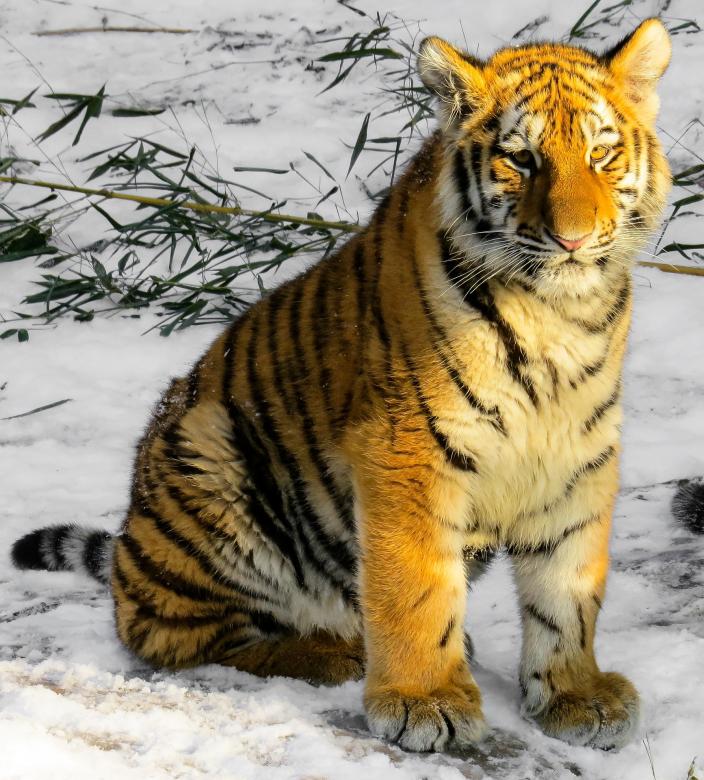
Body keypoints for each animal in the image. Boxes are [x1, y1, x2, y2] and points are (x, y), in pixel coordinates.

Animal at [11, 18, 672, 754]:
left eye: (601, 154)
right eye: (521, 159)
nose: (573, 239)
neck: (560, 314)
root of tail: (127, 550)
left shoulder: (579, 454)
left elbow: (569, 585)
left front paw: (576, 696)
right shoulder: (407, 449)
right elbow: (416, 587)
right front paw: (424, 701)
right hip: (210, 453)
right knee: (177, 635)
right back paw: (341, 651)